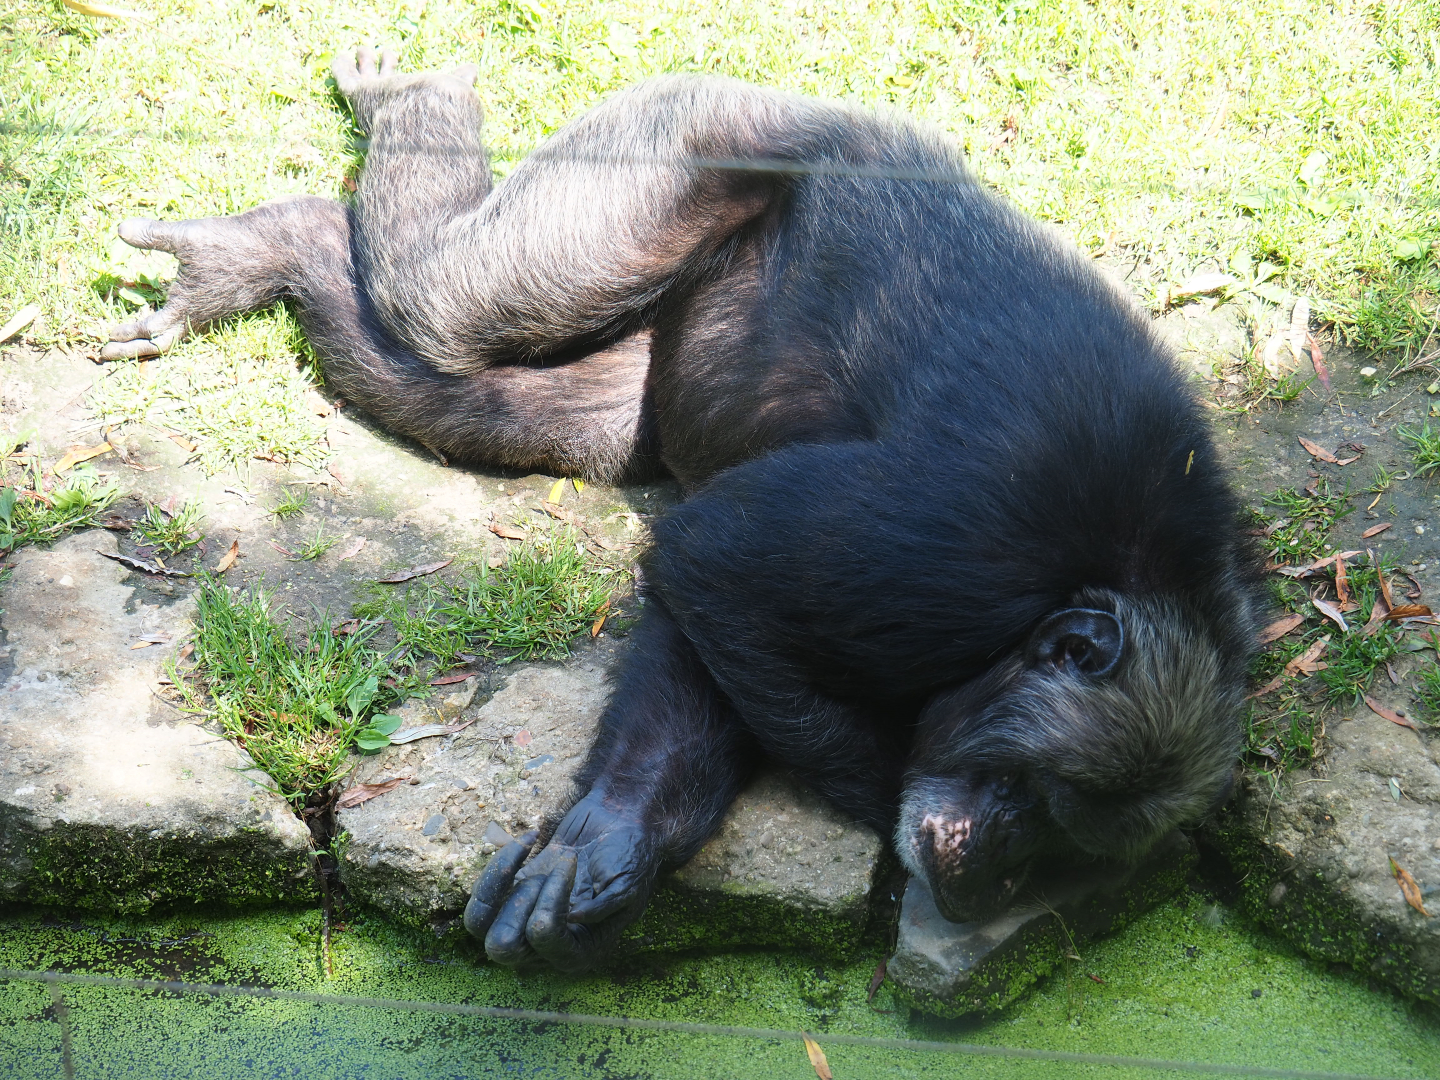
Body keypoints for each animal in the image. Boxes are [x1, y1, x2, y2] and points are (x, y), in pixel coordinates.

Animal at [105, 48, 1259, 973]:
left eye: (1063, 844)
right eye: (1038, 802)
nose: (995, 868)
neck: (1120, 573)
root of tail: (812, 100)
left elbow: (702, 624)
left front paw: (610, 840)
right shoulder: (950, 547)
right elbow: (721, 564)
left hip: (650, 347)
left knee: (476, 395)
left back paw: (282, 251)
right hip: (667, 155)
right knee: (445, 300)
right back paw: (388, 122)